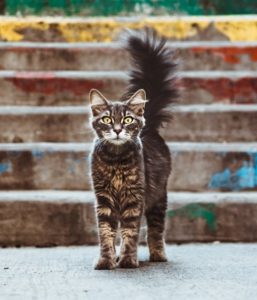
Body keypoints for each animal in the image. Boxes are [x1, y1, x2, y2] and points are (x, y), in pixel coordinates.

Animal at [88, 28, 176, 270]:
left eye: (127, 120)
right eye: (107, 119)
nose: (118, 130)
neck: (115, 161)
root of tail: (150, 126)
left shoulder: (134, 199)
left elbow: (130, 233)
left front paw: (128, 261)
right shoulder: (104, 200)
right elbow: (106, 234)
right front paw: (106, 261)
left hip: (159, 197)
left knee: (155, 230)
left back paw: (158, 255)